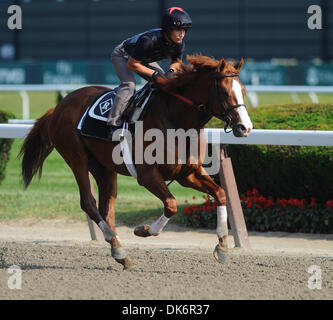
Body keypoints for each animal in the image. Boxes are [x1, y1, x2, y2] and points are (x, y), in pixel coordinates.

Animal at [18, 54, 252, 268]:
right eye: (224, 92)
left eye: (243, 90)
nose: (245, 127)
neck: (176, 121)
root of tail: (58, 107)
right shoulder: (147, 175)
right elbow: (171, 204)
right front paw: (144, 230)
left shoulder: (188, 174)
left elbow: (220, 194)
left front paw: (222, 247)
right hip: (76, 157)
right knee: (88, 202)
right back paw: (118, 247)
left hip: (103, 168)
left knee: (107, 207)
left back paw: (119, 251)